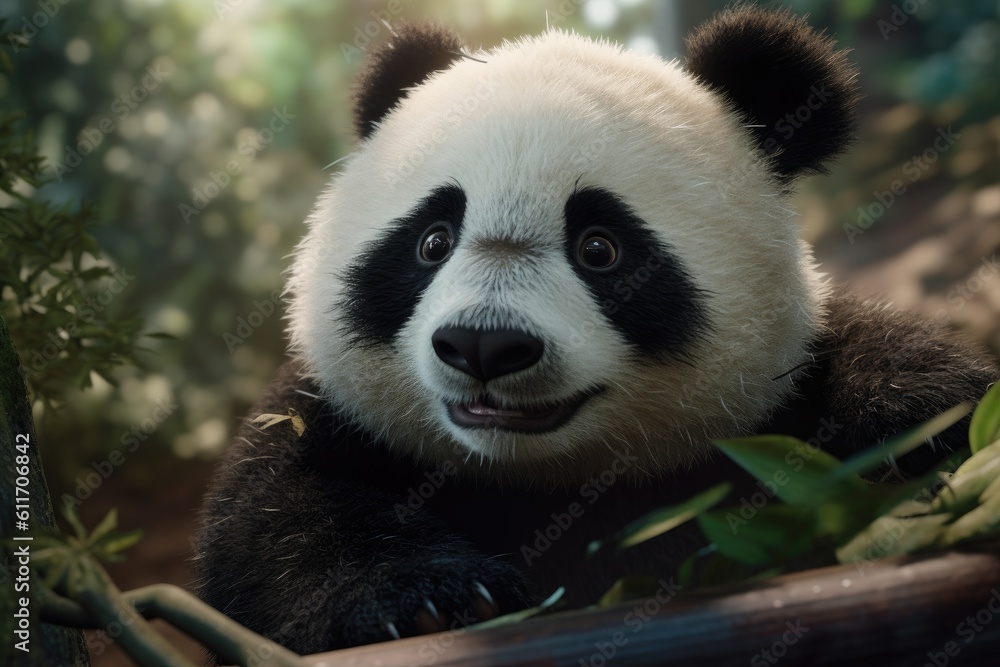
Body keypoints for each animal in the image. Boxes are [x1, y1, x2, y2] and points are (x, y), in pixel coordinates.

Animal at [193, 5, 1000, 654]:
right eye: (432, 240)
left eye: (600, 248)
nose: (484, 344)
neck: (542, 479)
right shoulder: (324, 418)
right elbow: (275, 526)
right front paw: (431, 600)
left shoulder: (798, 391)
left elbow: (927, 400)